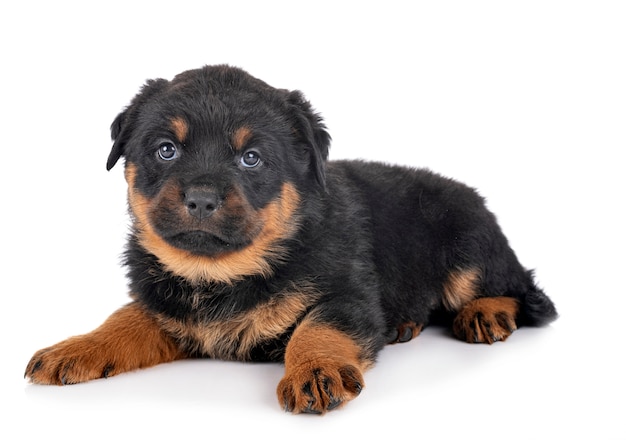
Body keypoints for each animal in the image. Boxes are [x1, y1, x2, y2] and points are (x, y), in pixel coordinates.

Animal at [24, 63, 556, 414]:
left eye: (251, 158)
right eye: (166, 150)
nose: (200, 198)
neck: (221, 275)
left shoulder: (347, 293)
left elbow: (318, 326)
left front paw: (314, 372)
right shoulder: (164, 306)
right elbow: (125, 319)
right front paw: (75, 348)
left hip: (468, 244)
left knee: (516, 287)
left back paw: (485, 313)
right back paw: (404, 325)